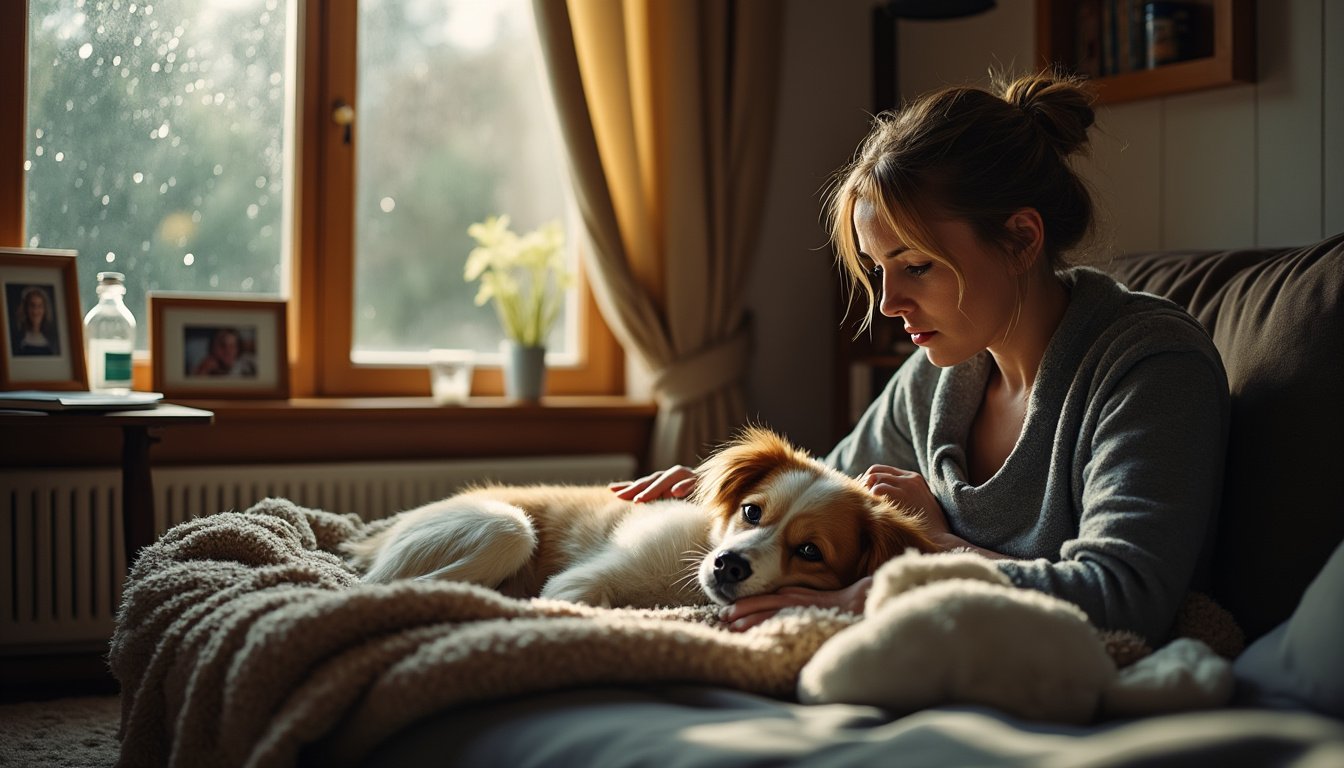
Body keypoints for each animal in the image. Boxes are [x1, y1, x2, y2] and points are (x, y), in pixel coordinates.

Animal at [344, 430, 935, 610]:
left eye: (810, 551)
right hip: (505, 529)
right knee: (383, 587)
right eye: (751, 512)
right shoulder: (578, 583)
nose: (727, 565)